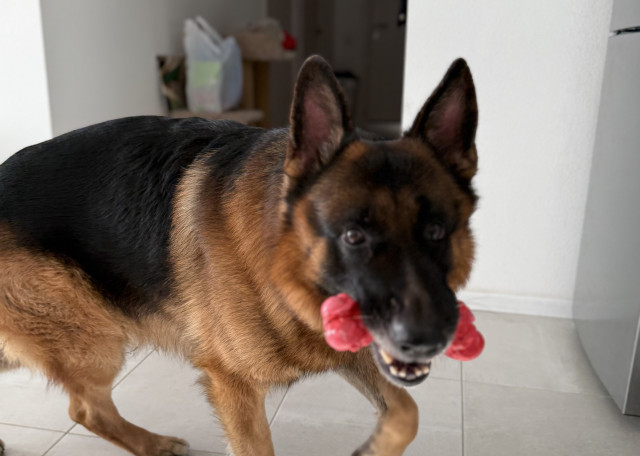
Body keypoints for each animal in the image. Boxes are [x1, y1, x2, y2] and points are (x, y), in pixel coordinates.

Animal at [0, 55, 478, 456]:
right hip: (95, 343)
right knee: (86, 410)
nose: (427, 339)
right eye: (352, 236)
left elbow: (407, 413)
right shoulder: (235, 387)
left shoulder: (352, 352)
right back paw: (152, 444)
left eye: (436, 232)